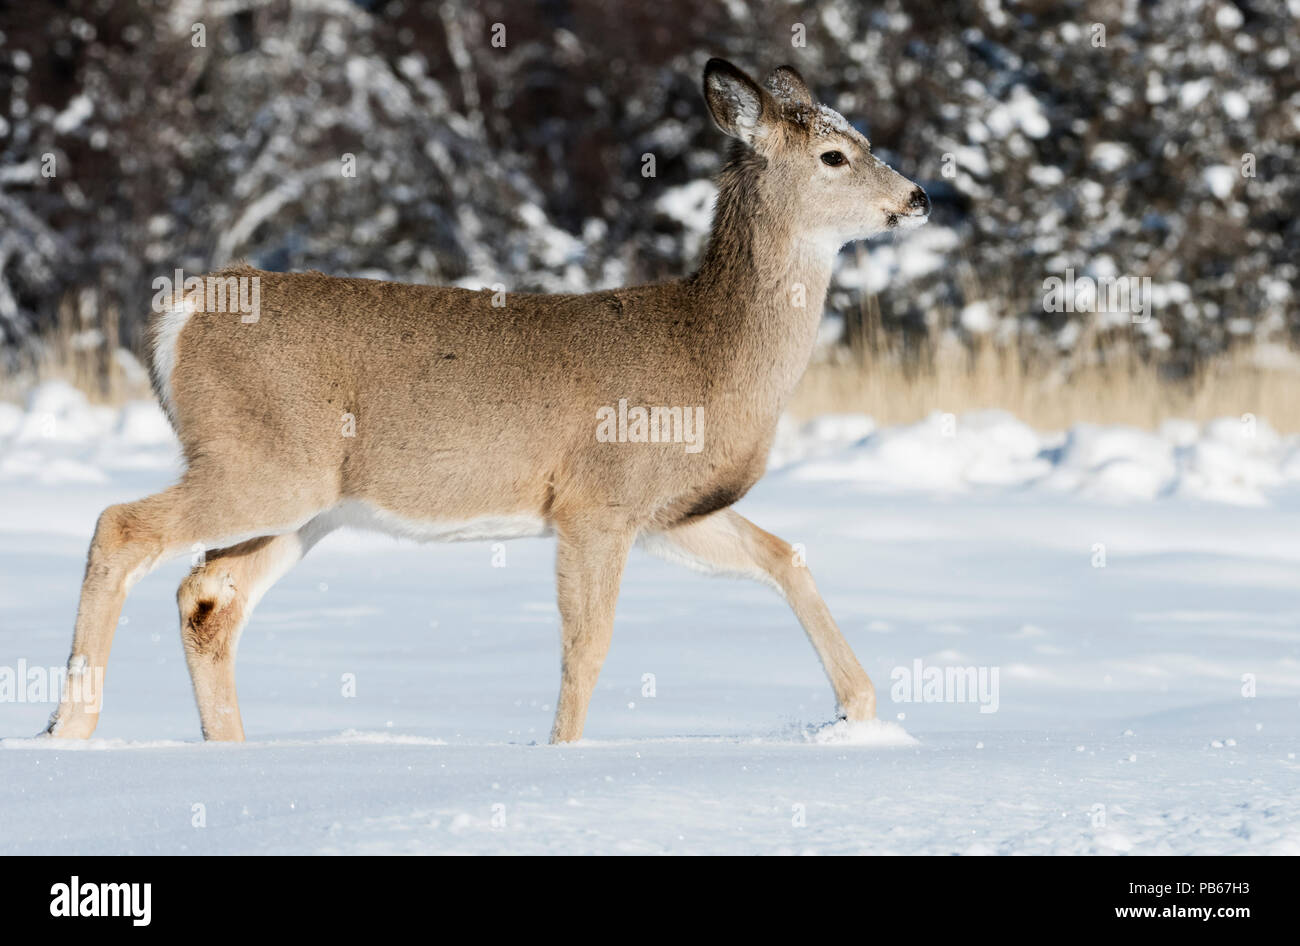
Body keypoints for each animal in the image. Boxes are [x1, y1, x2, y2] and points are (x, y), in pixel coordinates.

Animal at [44, 58, 929, 745]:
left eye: (864, 139)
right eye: (834, 155)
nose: (918, 196)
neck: (709, 354)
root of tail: (184, 309)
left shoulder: (667, 512)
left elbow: (785, 556)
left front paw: (861, 715)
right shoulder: (597, 499)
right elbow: (588, 646)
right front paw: (559, 755)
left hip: (307, 499)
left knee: (208, 595)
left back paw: (222, 749)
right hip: (266, 463)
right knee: (120, 527)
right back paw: (70, 732)